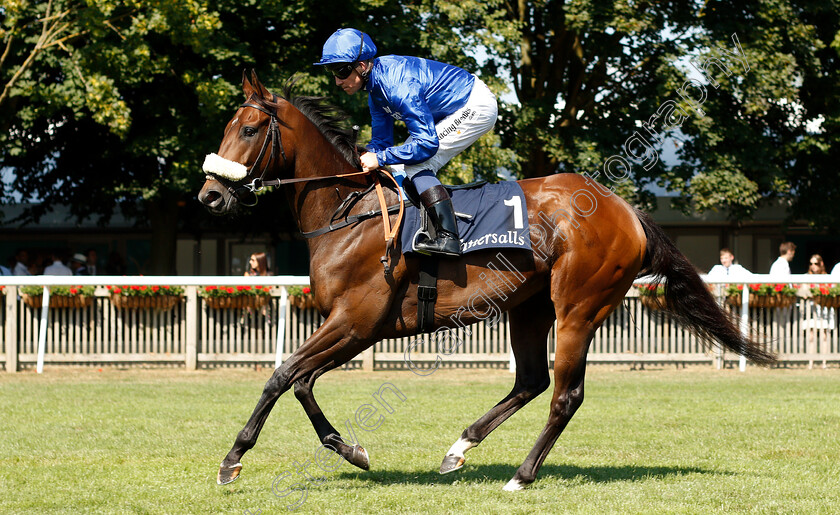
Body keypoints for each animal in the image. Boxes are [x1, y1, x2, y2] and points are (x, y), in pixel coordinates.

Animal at [197, 71, 776, 492]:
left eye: (248, 129)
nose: (209, 196)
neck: (351, 212)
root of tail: (627, 211)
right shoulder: (352, 328)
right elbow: (301, 381)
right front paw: (350, 449)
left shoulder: (356, 323)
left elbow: (282, 375)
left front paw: (232, 459)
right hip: (529, 307)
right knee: (532, 381)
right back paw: (459, 448)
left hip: (578, 308)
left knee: (565, 394)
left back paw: (521, 475)